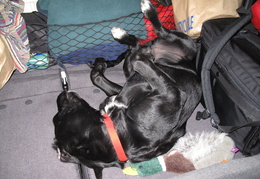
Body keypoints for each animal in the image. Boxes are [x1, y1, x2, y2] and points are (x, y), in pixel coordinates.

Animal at [52, 0, 202, 178]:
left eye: (58, 119)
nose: (60, 96)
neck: (119, 133)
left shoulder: (170, 92)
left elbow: (106, 78)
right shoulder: (159, 89)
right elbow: (110, 81)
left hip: (185, 45)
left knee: (158, 33)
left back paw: (141, 18)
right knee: (141, 44)